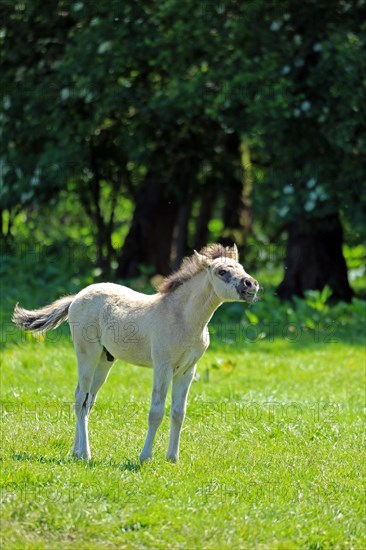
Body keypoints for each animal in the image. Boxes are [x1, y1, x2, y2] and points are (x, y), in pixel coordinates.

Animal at [12, 244, 260, 464]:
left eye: (241, 267)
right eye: (222, 272)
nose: (251, 284)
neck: (183, 318)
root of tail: (76, 297)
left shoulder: (187, 371)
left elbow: (178, 413)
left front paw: (172, 458)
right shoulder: (163, 367)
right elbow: (156, 412)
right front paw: (145, 457)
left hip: (105, 360)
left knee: (86, 400)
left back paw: (76, 451)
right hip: (87, 355)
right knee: (80, 399)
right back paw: (85, 454)